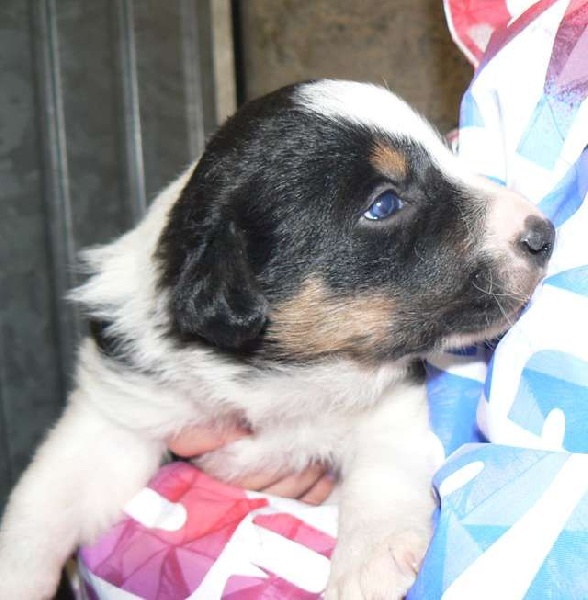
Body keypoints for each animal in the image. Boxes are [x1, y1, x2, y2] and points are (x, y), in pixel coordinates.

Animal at [0, 79, 554, 599]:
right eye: (385, 203)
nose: (544, 233)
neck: (288, 369)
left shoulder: (391, 406)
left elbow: (383, 474)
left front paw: (371, 561)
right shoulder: (118, 410)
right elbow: (42, 504)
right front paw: (14, 574)